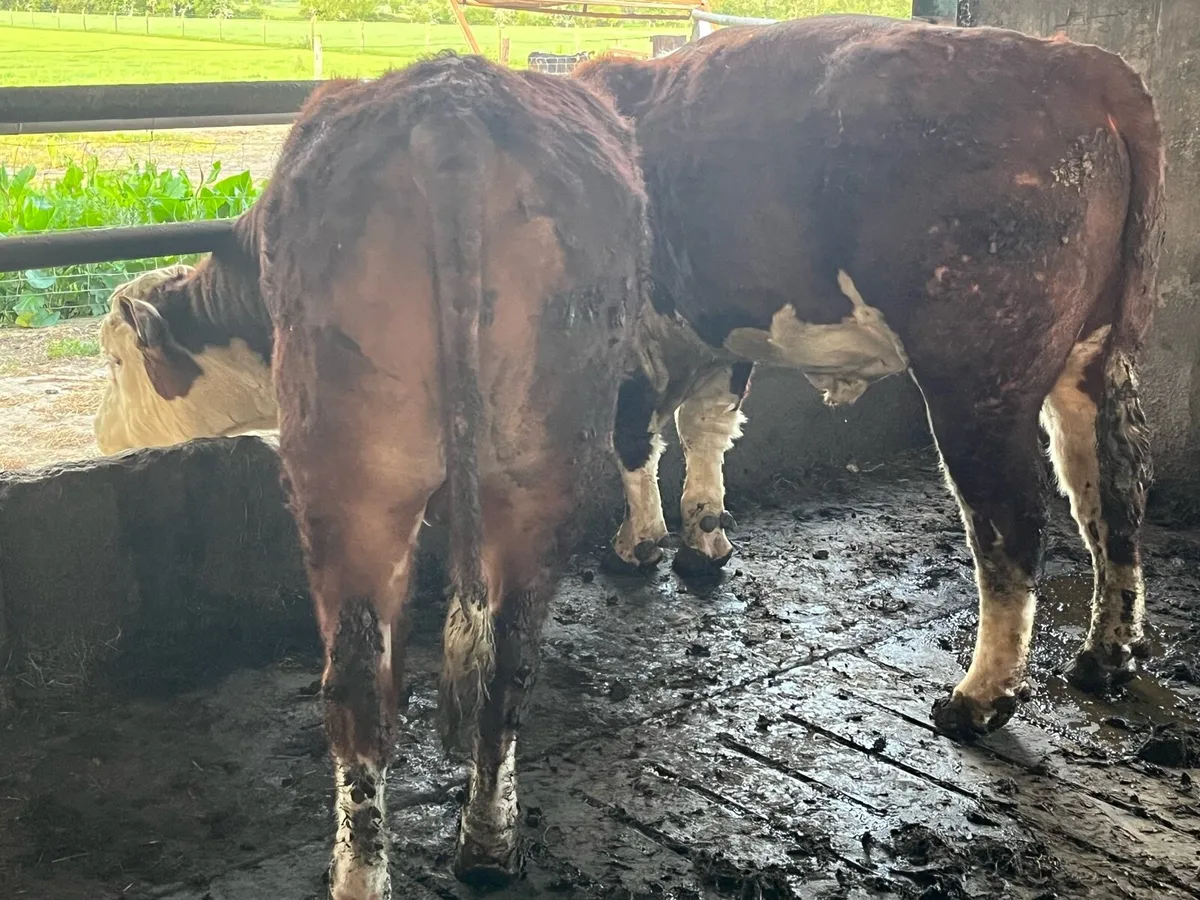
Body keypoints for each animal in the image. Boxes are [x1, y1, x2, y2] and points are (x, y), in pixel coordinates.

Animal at [94, 52, 649, 898]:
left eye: (116, 360)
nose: (96, 432)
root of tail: (453, 112)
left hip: (358, 478)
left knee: (368, 687)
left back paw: (375, 872)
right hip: (536, 470)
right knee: (498, 666)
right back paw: (484, 844)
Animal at [573, 14, 1167, 740]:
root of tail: (1081, 63)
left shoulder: (631, 331)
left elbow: (635, 434)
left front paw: (636, 546)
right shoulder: (719, 327)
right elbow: (707, 428)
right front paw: (704, 540)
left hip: (979, 377)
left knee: (1013, 524)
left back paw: (978, 699)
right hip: (1097, 354)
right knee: (1112, 495)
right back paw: (1105, 657)